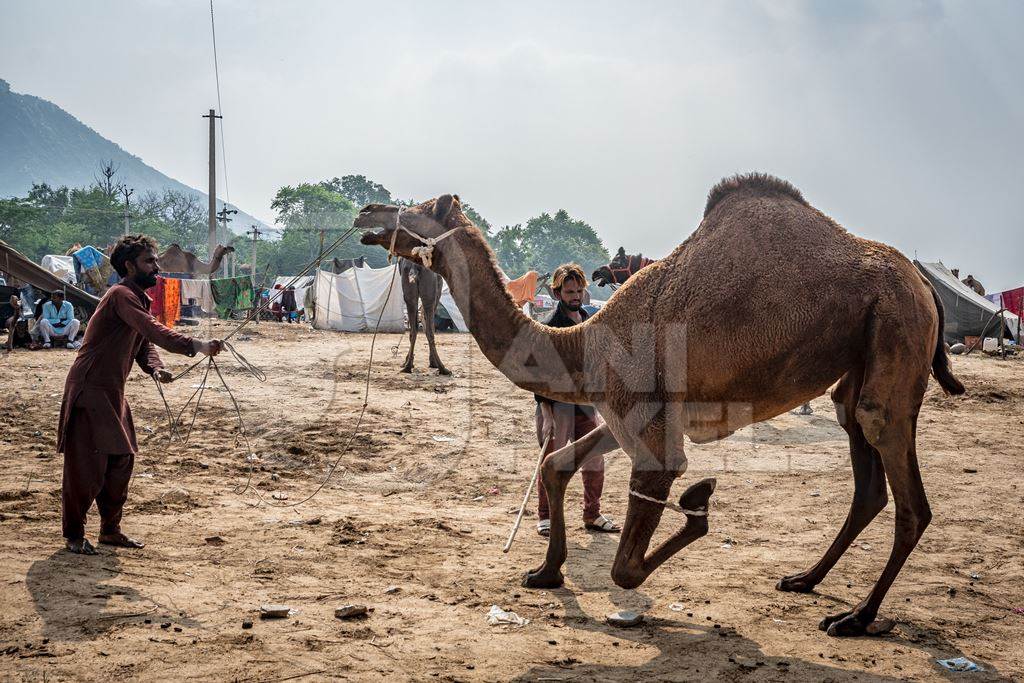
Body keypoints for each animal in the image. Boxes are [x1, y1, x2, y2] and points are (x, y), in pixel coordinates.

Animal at [356, 174, 962, 638]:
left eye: (417, 207)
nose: (367, 210)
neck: (582, 342)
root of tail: (925, 285)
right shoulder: (622, 410)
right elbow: (555, 465)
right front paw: (545, 572)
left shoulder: (643, 421)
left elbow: (627, 566)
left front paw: (698, 502)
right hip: (860, 359)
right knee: (863, 464)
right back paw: (804, 581)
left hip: (896, 324)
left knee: (901, 476)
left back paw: (856, 618)